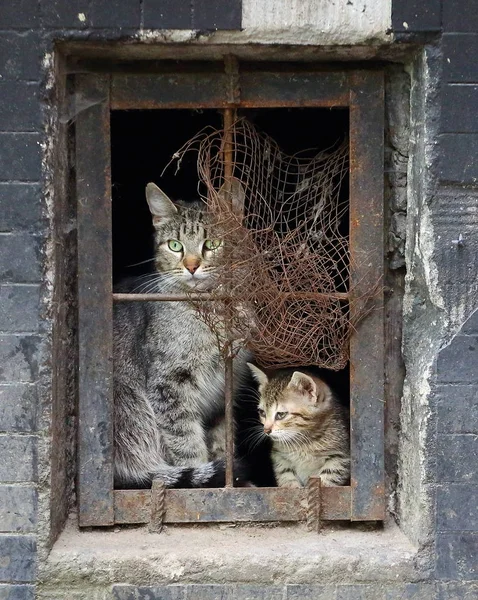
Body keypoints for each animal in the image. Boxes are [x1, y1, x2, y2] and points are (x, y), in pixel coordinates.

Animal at [114, 182, 248, 488]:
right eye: (175, 245)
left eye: (213, 244)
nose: (191, 265)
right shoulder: (169, 384)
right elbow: (186, 441)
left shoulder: (223, 390)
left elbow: (221, 439)